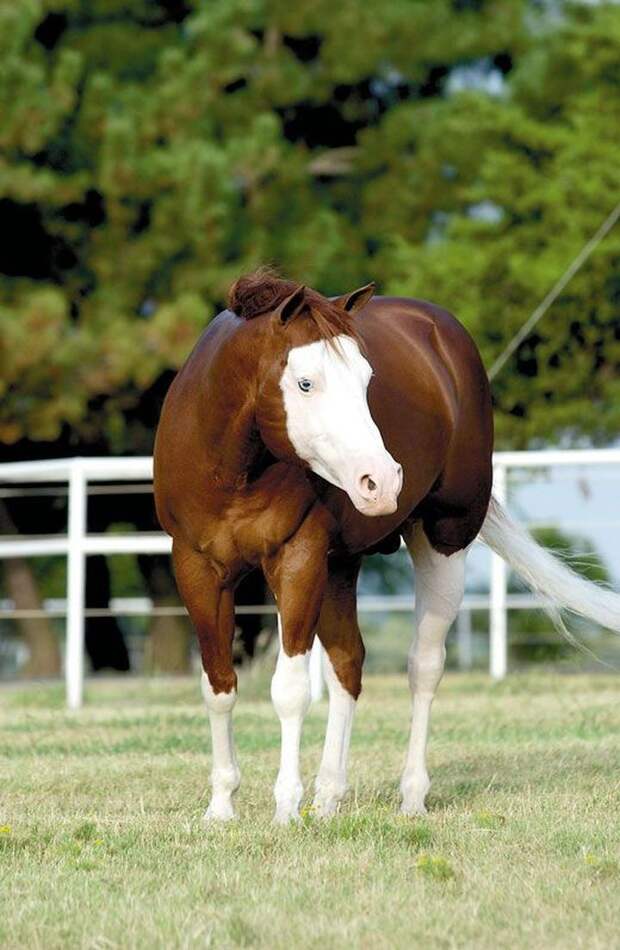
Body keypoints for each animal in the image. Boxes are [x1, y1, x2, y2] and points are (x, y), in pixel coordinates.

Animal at [154, 270, 620, 824]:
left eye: (366, 381)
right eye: (305, 382)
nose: (381, 481)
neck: (234, 468)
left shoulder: (297, 559)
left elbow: (289, 691)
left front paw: (285, 807)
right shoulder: (197, 568)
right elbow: (219, 685)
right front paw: (222, 805)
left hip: (441, 541)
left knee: (424, 667)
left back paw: (410, 795)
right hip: (339, 565)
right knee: (347, 665)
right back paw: (328, 798)